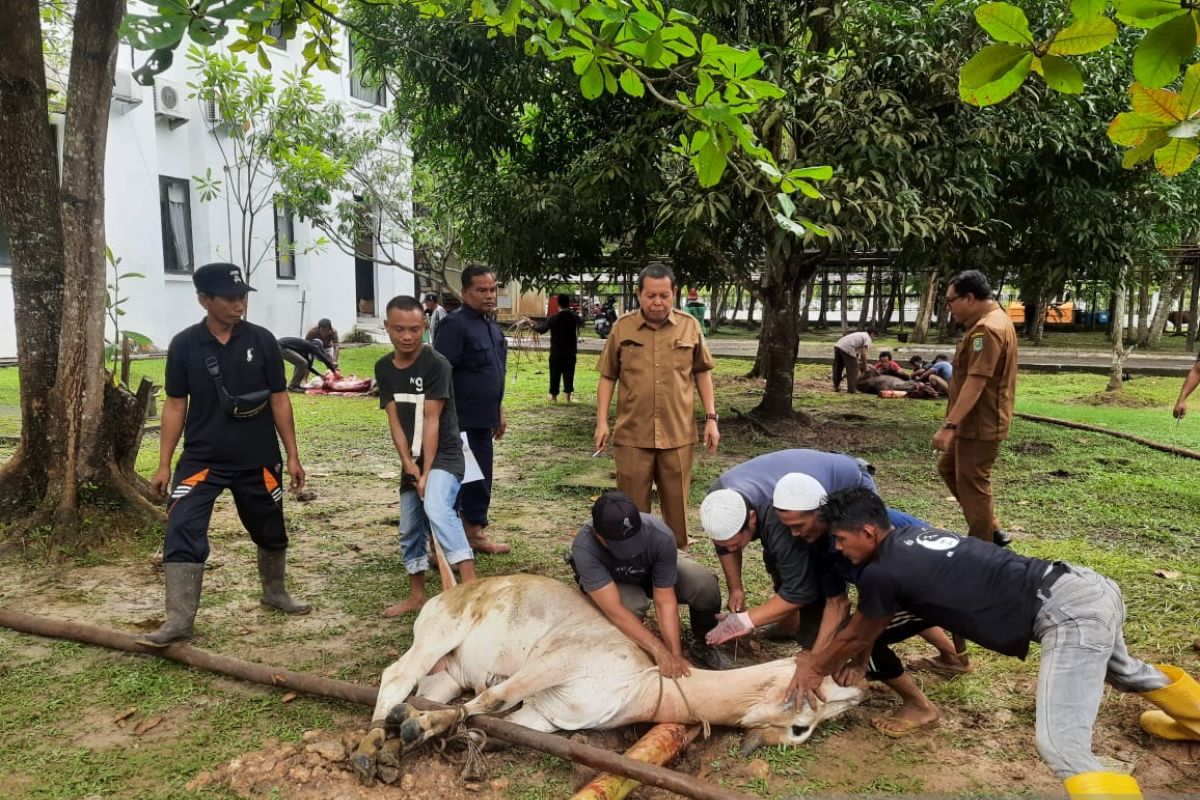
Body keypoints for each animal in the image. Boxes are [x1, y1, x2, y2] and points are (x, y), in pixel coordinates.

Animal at [350, 575, 868, 782]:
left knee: (422, 692)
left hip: (448, 673)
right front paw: (416, 730)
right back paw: (370, 747)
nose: (859, 696)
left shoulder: (546, 717)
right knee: (396, 674)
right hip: (441, 634)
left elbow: (488, 726)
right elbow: (493, 698)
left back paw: (390, 748)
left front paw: (425, 732)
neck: (642, 685)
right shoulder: (555, 662)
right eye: (802, 726)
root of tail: (448, 592)